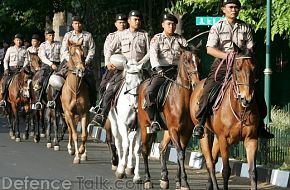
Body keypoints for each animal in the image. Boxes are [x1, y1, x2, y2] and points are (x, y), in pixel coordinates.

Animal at [138, 46, 201, 189]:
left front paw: (179, 182)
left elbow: (180, 153)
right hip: (145, 127)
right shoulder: (174, 130)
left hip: (167, 130)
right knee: (144, 150)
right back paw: (147, 180)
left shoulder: (185, 132)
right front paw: (185, 183)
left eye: (199, 61)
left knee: (162, 147)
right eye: (187, 61)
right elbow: (180, 154)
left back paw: (164, 178)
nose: (196, 84)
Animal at [190, 53, 258, 190]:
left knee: (213, 159)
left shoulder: (251, 139)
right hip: (205, 134)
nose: (247, 99)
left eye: (253, 68)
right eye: (237, 69)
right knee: (210, 163)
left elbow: (253, 172)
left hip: (216, 138)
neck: (239, 108)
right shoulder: (224, 139)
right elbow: (226, 170)